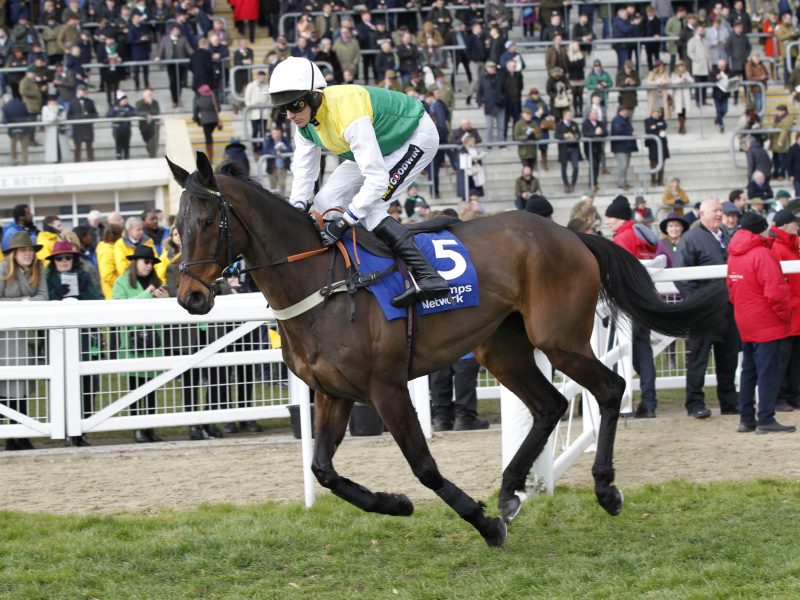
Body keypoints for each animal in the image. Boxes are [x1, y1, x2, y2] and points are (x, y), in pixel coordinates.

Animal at [169, 152, 732, 548]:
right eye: (176, 227)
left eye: (207, 222)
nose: (191, 297)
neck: (322, 283)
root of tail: (570, 234)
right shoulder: (333, 393)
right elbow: (323, 470)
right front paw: (394, 503)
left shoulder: (386, 388)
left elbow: (423, 466)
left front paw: (481, 523)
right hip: (501, 349)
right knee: (549, 404)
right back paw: (510, 491)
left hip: (558, 339)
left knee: (610, 388)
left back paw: (604, 489)